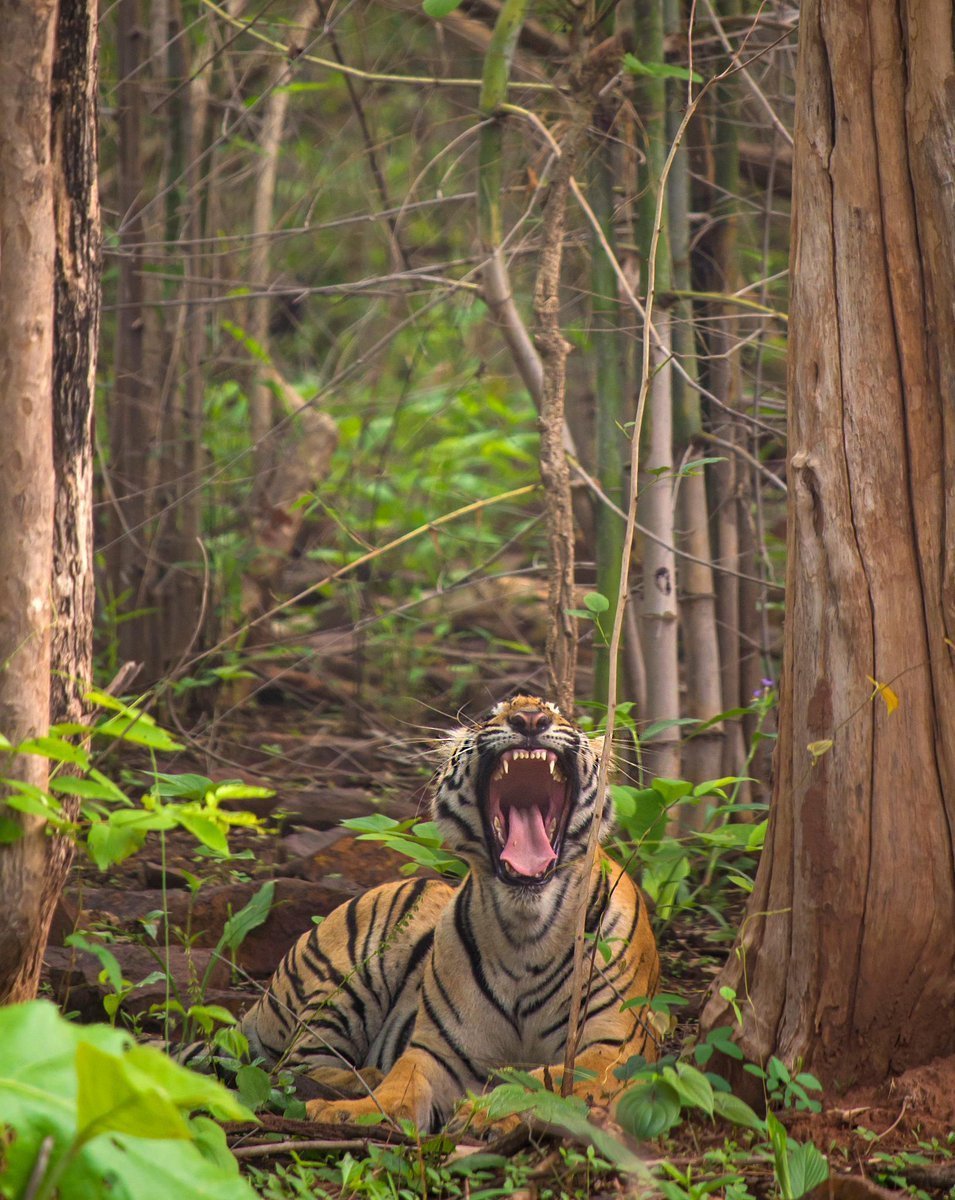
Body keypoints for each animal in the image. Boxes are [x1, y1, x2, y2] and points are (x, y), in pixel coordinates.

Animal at [229, 700, 657, 1128]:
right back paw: (362, 1078)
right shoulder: (438, 1050)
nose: (531, 719)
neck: (526, 925)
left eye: (559, 713)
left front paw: (486, 1114)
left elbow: (543, 1083)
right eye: (491, 714)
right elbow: (401, 1082)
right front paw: (353, 1112)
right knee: (291, 1066)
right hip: (345, 979)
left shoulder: (614, 1045)